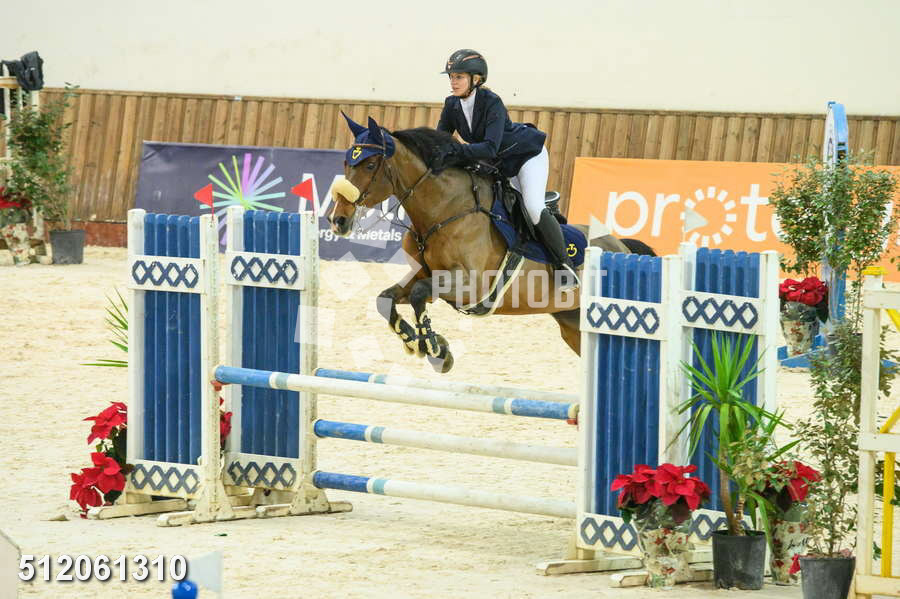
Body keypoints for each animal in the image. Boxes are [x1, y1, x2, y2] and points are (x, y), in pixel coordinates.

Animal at [328, 114, 655, 373]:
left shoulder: (471, 284)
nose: (338, 220)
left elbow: (420, 293)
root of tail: (622, 247)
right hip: (573, 322)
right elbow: (386, 300)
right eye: (345, 161)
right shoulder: (425, 275)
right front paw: (418, 342)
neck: (444, 210)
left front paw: (435, 349)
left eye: (370, 164)